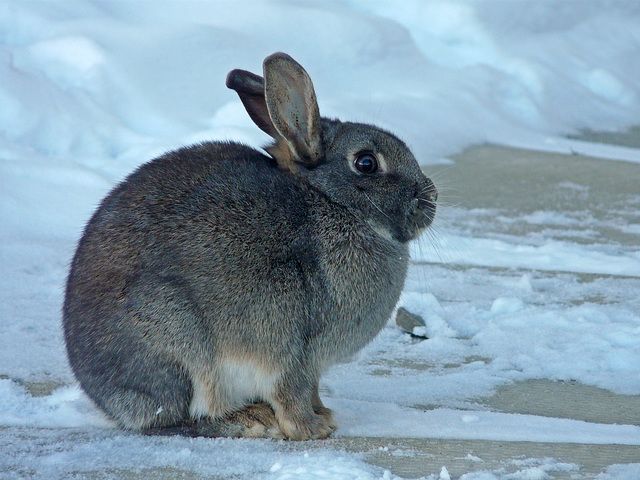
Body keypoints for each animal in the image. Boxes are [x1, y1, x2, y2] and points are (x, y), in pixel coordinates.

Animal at [62, 51, 438, 438]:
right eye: (366, 163)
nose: (432, 198)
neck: (332, 203)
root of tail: (102, 394)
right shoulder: (292, 349)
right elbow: (291, 390)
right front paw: (309, 428)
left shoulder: (311, 365)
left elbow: (312, 390)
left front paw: (324, 415)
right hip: (175, 335)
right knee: (177, 416)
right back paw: (249, 419)